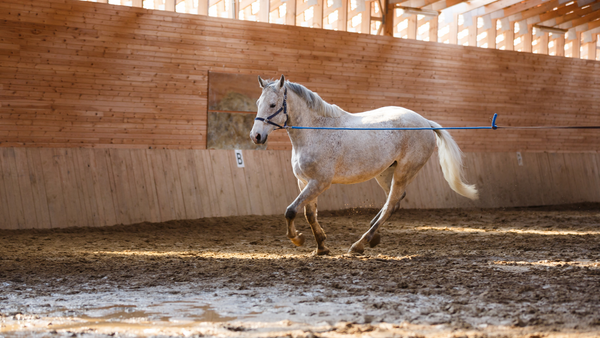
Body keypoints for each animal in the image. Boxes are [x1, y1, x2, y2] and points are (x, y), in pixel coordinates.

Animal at [250, 76, 478, 256]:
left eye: (272, 105)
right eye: (258, 102)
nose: (256, 136)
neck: (315, 131)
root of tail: (426, 123)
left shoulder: (320, 182)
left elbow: (290, 211)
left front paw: (297, 239)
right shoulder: (304, 182)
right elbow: (309, 214)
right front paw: (321, 246)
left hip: (404, 171)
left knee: (391, 202)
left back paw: (359, 244)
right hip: (385, 172)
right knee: (393, 202)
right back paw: (372, 235)